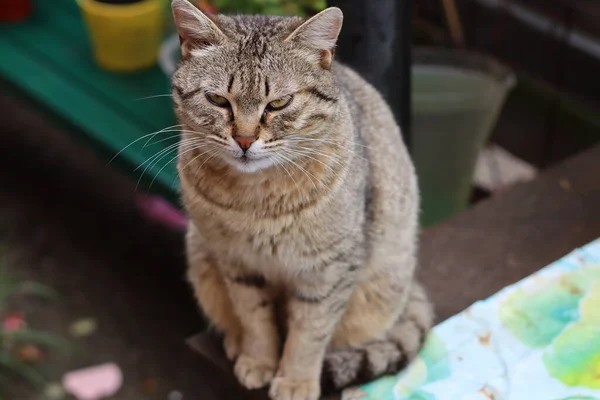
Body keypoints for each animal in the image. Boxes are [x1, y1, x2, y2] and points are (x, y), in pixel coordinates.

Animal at [171, 1, 434, 398]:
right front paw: (260, 360)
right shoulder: (236, 262)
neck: (257, 199)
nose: (244, 140)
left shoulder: (329, 271)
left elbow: (309, 333)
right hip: (200, 255)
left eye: (279, 103)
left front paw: (295, 380)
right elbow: (255, 319)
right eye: (217, 100)